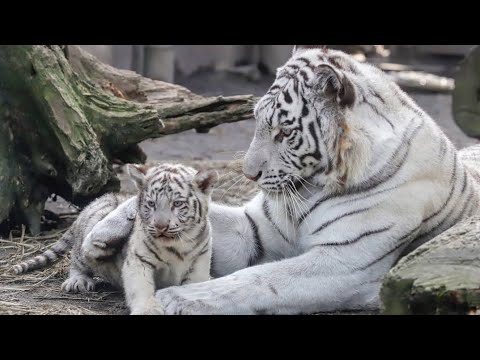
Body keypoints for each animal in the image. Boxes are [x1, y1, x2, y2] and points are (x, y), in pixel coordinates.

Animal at [88, 45, 480, 316]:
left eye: (283, 132)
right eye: (258, 121)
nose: (249, 173)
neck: (314, 188)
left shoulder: (349, 260)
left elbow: (262, 278)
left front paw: (179, 298)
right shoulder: (256, 229)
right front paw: (102, 234)